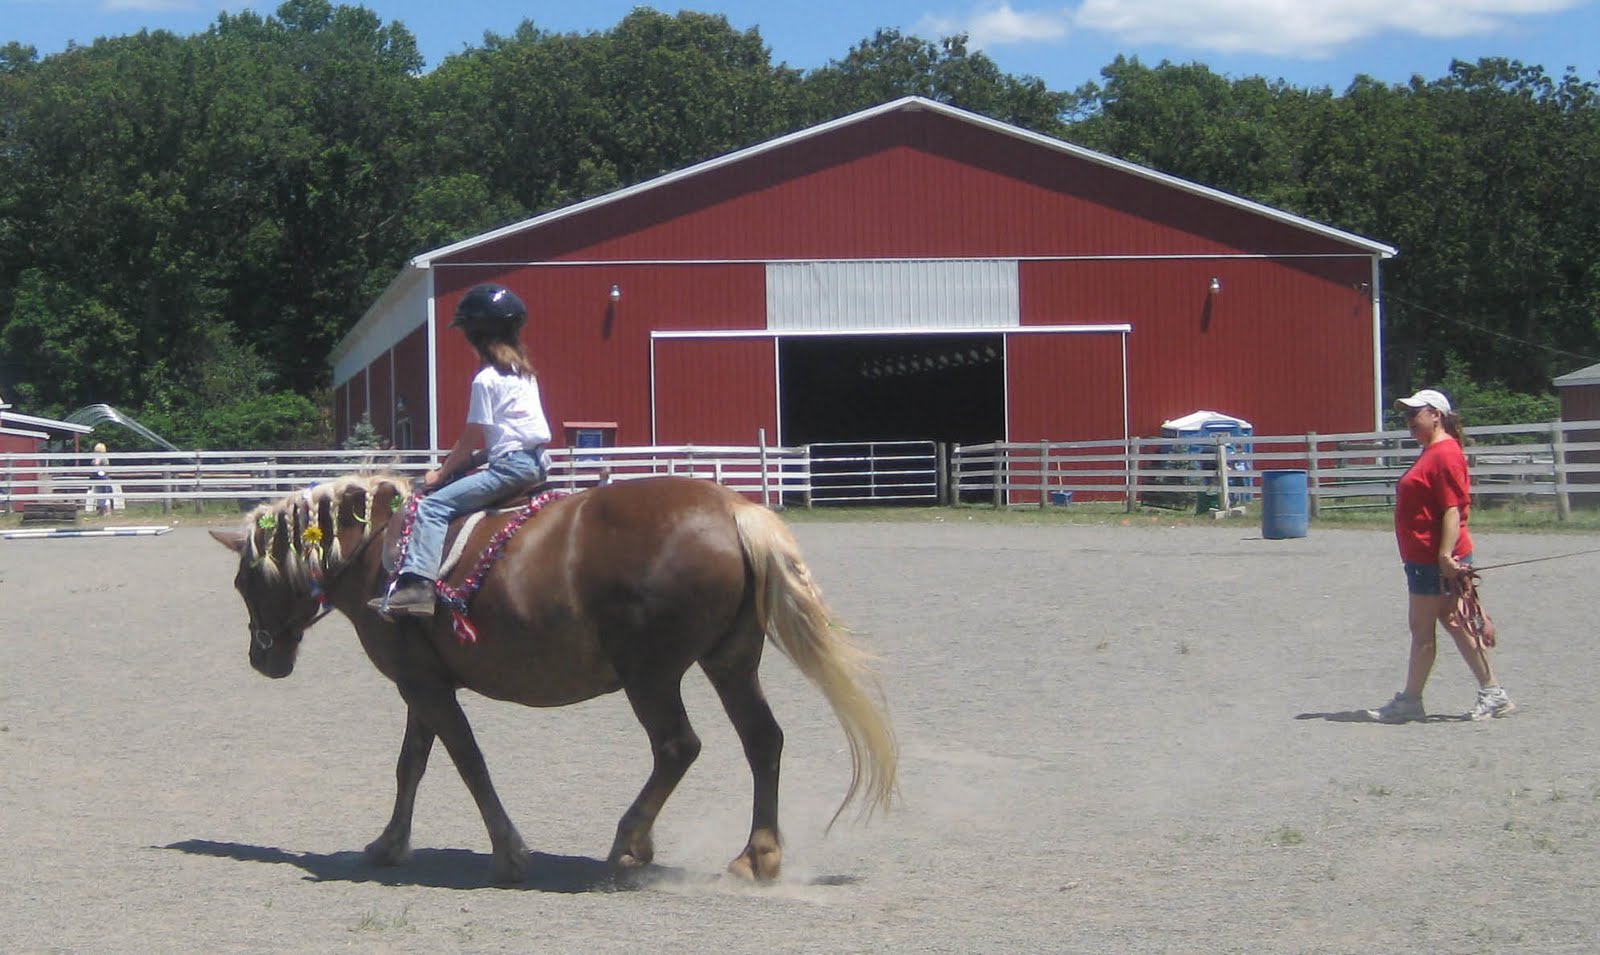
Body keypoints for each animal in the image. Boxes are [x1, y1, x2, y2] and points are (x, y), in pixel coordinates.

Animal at [209, 473, 896, 884]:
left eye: (245, 581)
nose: (263, 658)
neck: (378, 550)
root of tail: (731, 511)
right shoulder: (422, 684)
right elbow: (412, 766)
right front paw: (388, 845)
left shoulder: (426, 688)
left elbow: (467, 762)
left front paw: (510, 852)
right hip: (729, 663)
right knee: (762, 742)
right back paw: (759, 853)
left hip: (651, 676)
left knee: (678, 747)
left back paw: (630, 842)